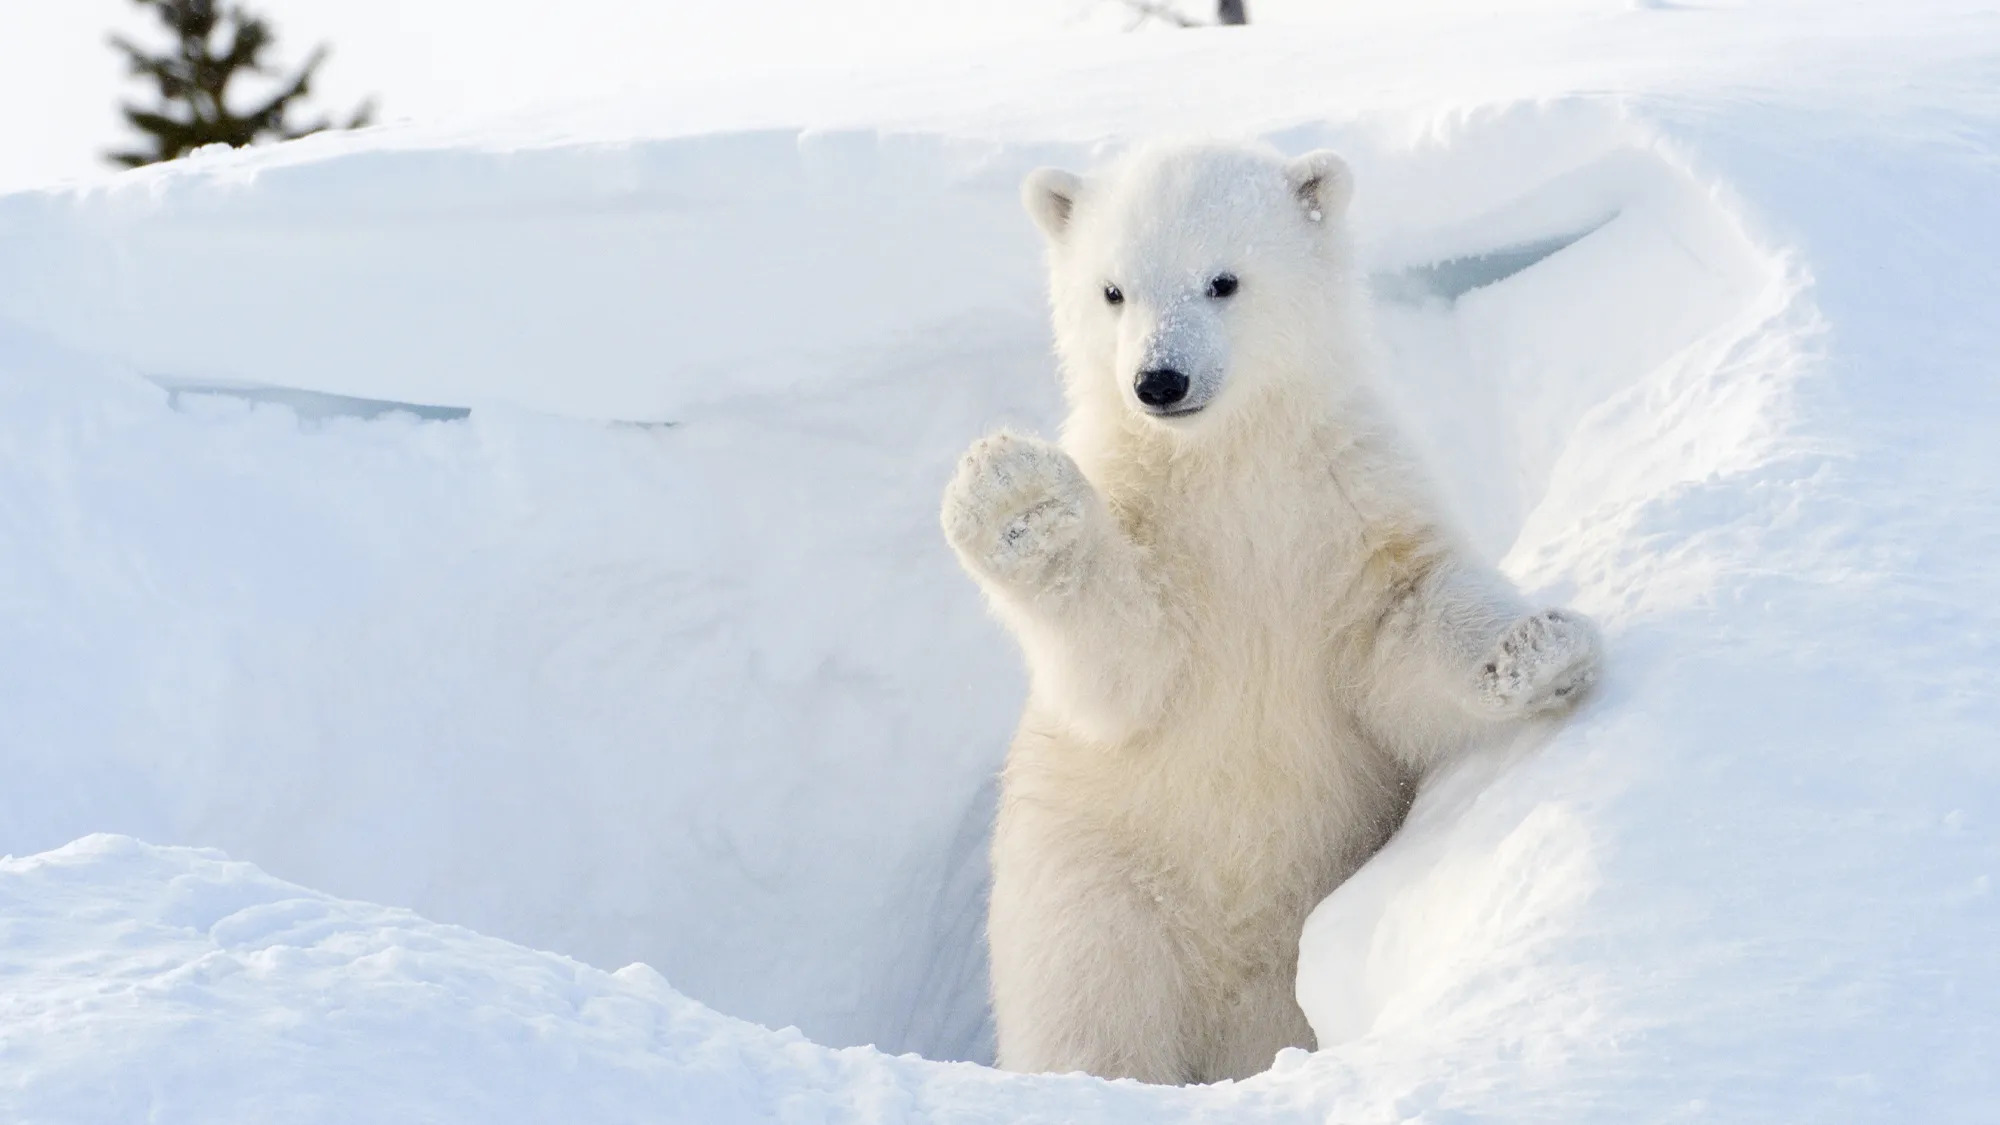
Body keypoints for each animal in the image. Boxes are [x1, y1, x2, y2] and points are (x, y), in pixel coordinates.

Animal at [939, 140, 1602, 1085]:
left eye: (1223, 280)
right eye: (1112, 290)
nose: (1159, 379)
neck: (1225, 461)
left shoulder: (1347, 500)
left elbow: (1402, 626)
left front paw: (1538, 647)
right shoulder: (1151, 526)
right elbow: (1125, 667)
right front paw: (1015, 498)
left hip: (1286, 939)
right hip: (1096, 889)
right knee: (1092, 1011)